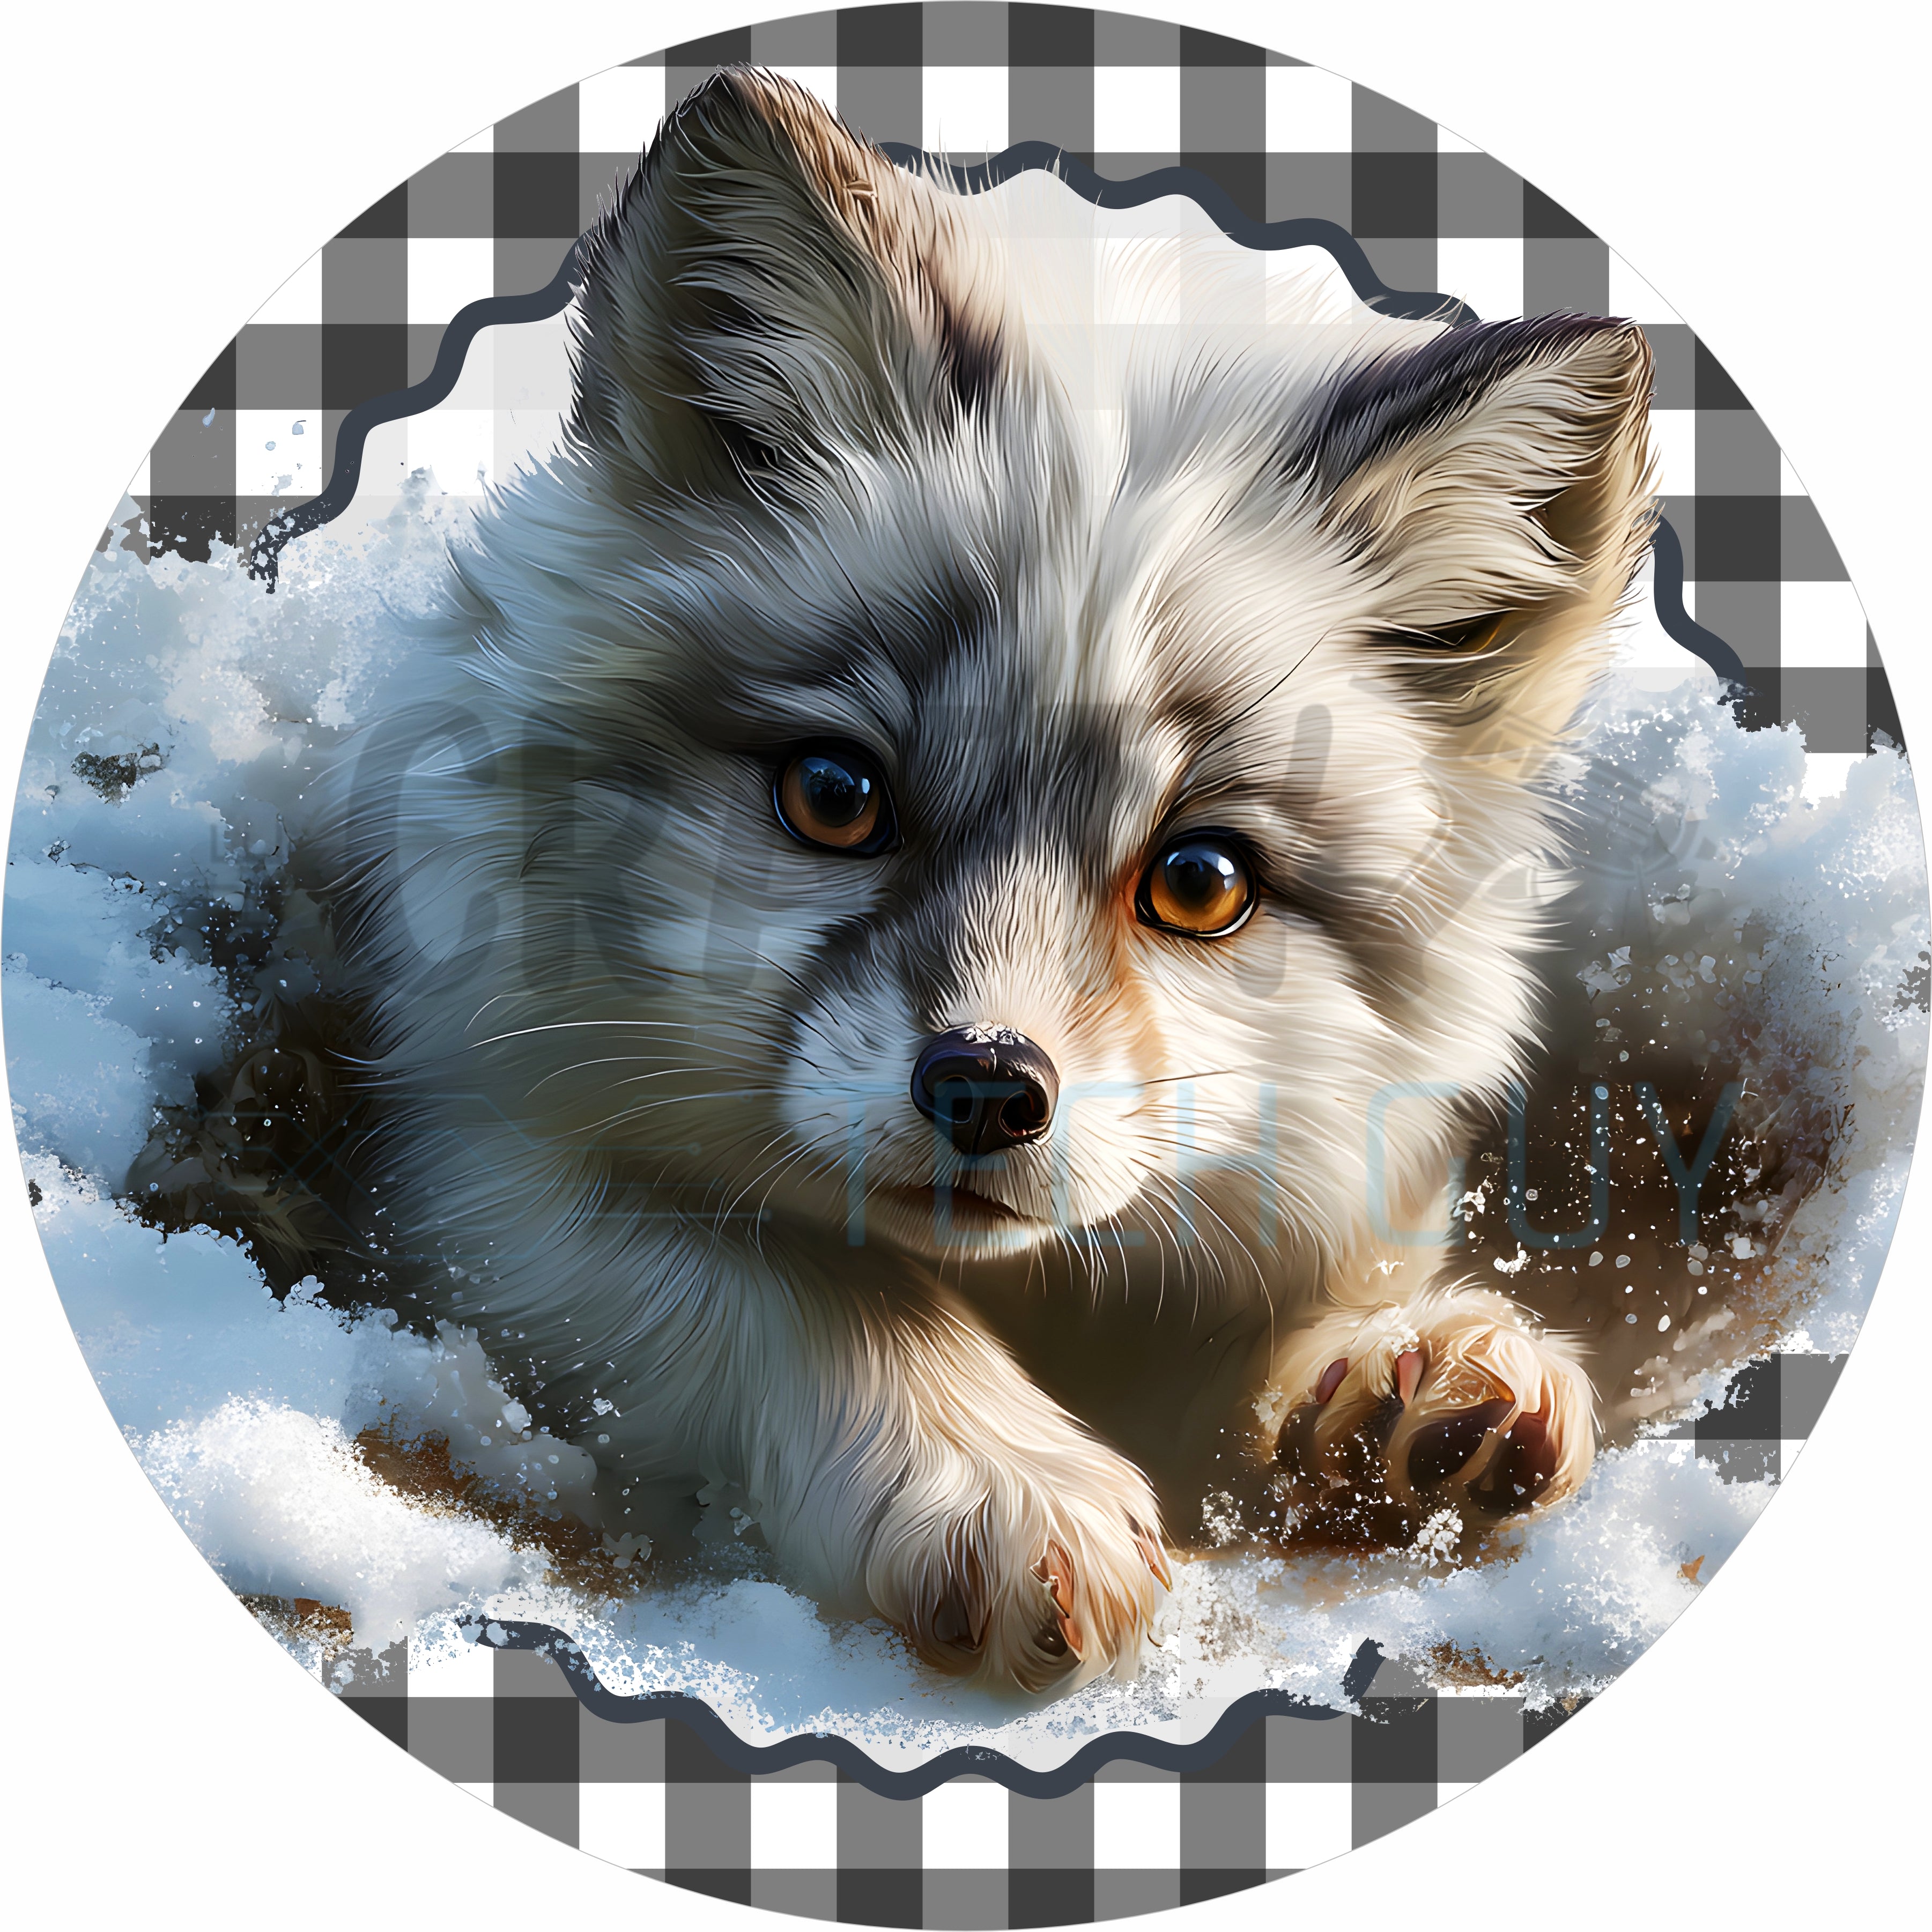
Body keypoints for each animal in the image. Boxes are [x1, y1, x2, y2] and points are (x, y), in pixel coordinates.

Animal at [244, 67, 1693, 1693]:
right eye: (834, 797)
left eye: (1200, 880)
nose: (988, 1089)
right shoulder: (454, 1159)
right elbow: (792, 1272)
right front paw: (994, 1474)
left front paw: (1404, 1376)